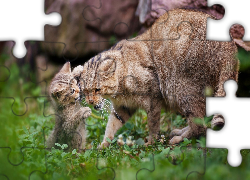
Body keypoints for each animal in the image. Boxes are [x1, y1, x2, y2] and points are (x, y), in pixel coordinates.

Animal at [73, 8, 237, 148]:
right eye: (85, 91)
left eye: (97, 89)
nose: (90, 102)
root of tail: (231, 47)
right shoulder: (123, 107)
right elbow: (112, 125)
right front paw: (104, 144)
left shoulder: (153, 98)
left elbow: (152, 123)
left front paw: (151, 141)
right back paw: (180, 132)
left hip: (184, 89)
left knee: (199, 123)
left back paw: (179, 138)